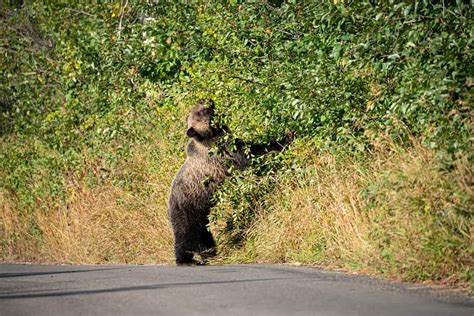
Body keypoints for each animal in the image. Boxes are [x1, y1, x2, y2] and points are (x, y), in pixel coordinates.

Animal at [168, 99, 290, 264]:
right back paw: (186, 259)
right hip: (186, 207)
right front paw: (285, 139)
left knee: (204, 236)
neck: (209, 136)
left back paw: (210, 254)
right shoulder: (221, 152)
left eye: (199, 105)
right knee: (185, 235)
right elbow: (248, 154)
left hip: (201, 214)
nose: (207, 100)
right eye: (200, 112)